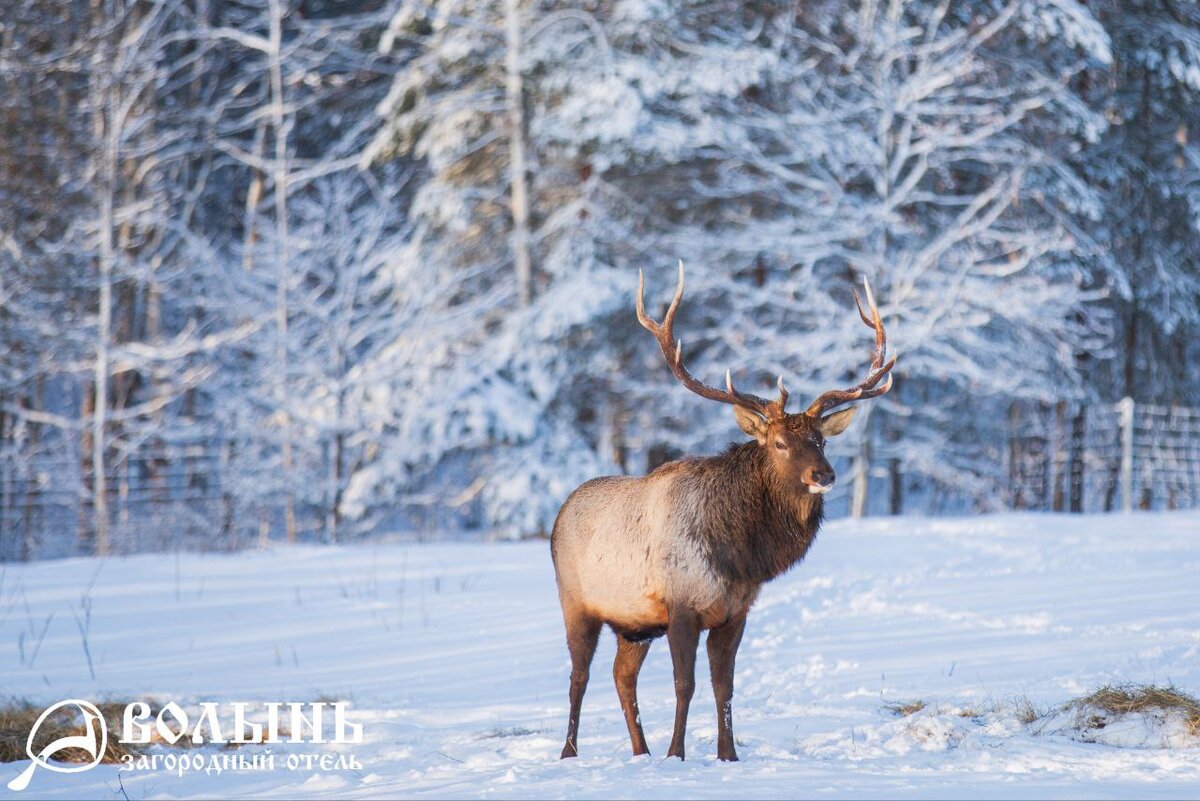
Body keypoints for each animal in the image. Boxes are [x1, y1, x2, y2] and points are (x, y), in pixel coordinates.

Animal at [549, 263, 897, 762]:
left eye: (822, 440)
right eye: (779, 442)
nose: (824, 474)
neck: (739, 556)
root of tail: (560, 515)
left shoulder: (735, 612)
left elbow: (724, 686)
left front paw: (727, 755)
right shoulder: (680, 605)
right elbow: (685, 683)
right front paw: (677, 754)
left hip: (634, 625)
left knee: (622, 676)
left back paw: (641, 752)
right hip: (576, 603)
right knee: (580, 677)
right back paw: (570, 753)